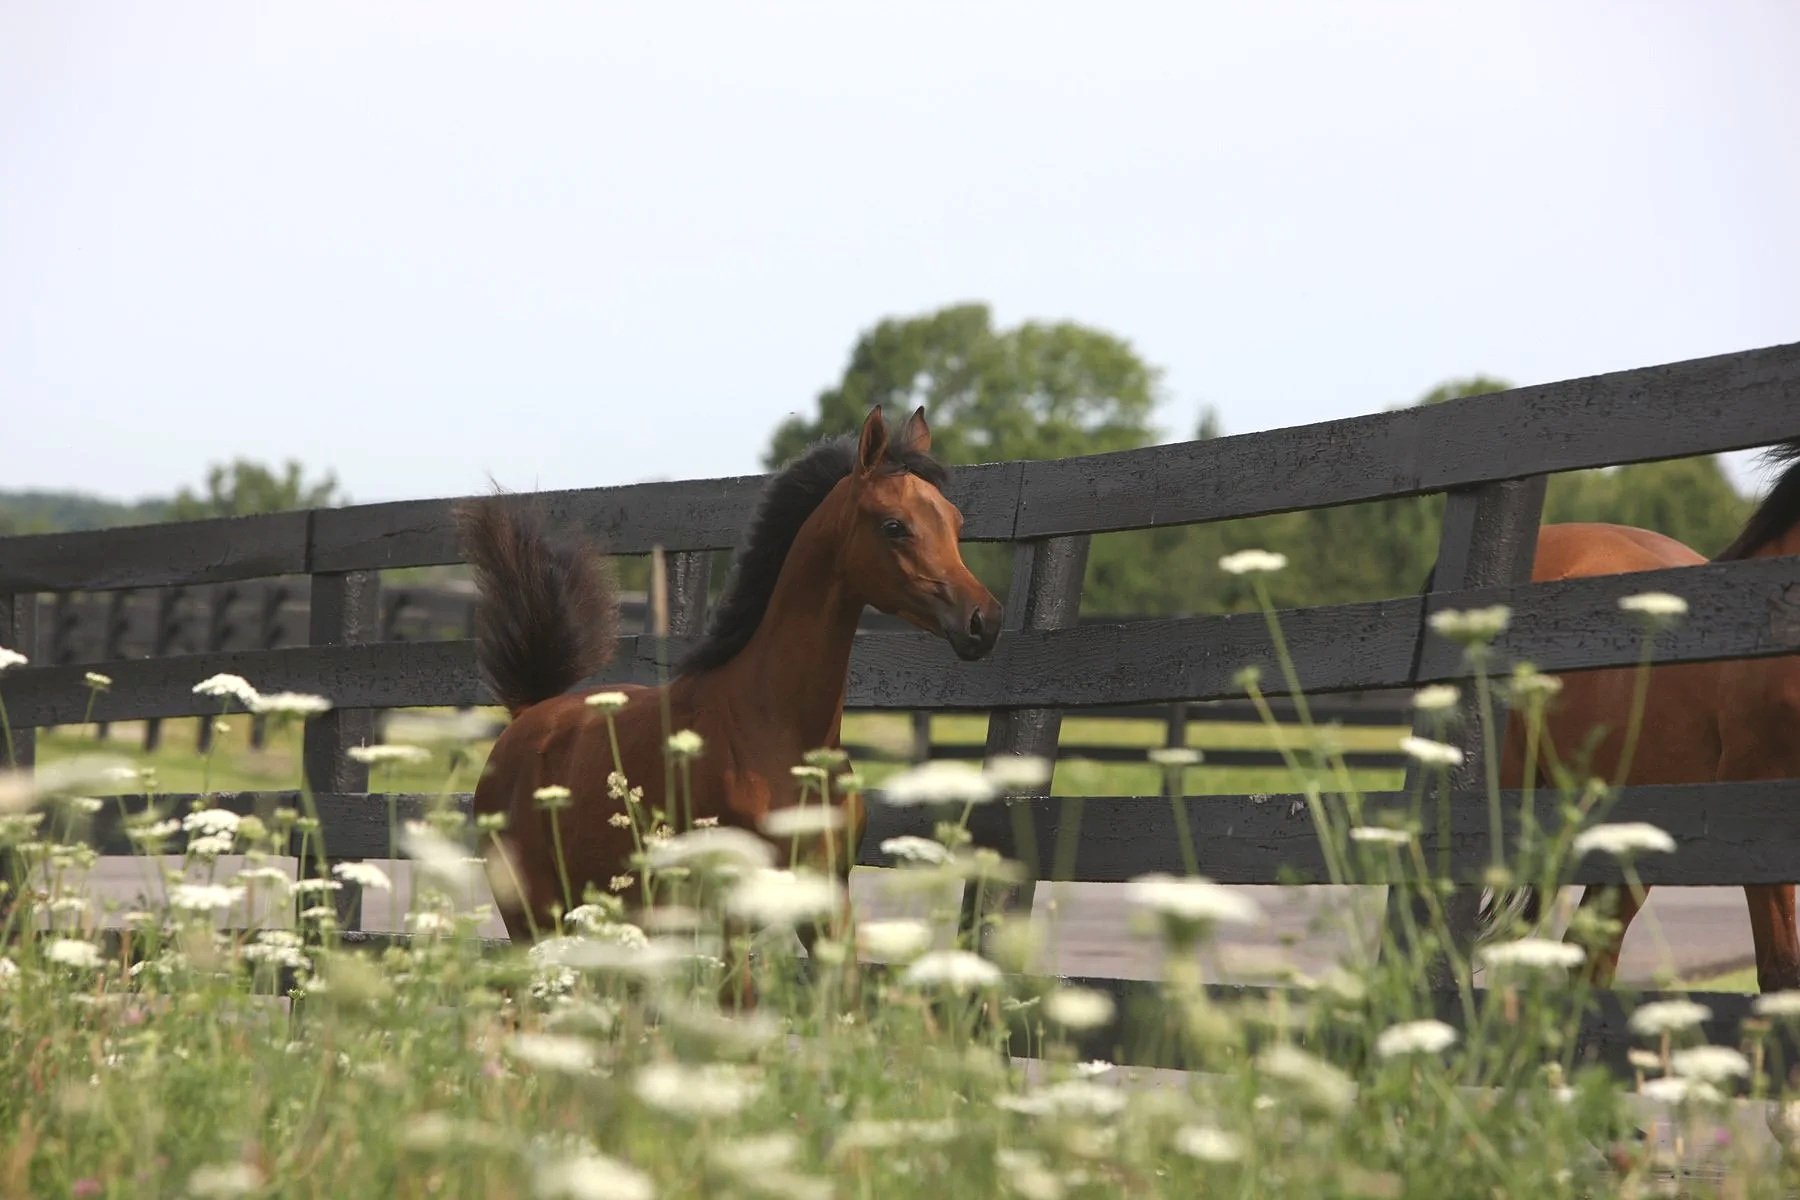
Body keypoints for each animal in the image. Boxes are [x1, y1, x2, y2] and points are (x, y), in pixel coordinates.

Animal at [457, 406, 1002, 943]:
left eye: (955, 520)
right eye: (894, 525)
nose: (984, 621)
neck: (775, 729)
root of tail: (528, 715)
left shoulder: (826, 902)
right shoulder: (731, 917)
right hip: (535, 920)